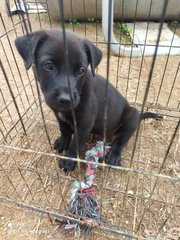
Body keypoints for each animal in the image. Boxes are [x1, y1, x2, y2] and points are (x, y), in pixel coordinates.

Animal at [15, 29, 162, 171]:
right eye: (49, 65)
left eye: (81, 71)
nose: (66, 99)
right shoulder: (60, 116)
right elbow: (64, 130)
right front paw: (63, 142)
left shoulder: (84, 124)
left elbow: (75, 143)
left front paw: (68, 160)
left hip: (132, 117)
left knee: (121, 140)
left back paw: (114, 155)